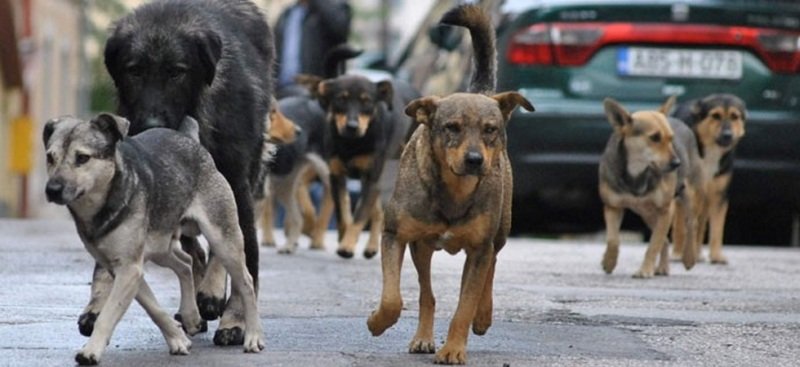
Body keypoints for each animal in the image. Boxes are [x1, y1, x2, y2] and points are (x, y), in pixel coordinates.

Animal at [43, 114, 264, 366]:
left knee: (245, 281)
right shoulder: (121, 269)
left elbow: (108, 314)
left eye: (82, 158)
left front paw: (91, 351)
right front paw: (178, 339)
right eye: (50, 157)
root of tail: (190, 139)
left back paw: (252, 336)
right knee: (185, 263)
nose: (52, 189)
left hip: (223, 239)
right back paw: (190, 316)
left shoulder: (129, 269)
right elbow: (154, 308)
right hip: (161, 246)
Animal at [96, 0, 272, 346]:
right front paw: (96, 305)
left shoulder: (238, 183)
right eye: (134, 71)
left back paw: (212, 291)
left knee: (225, 244)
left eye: (176, 72)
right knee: (194, 251)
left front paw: (236, 319)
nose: (150, 125)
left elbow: (247, 262)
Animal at [366, 5, 536, 366]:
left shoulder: (479, 248)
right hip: (422, 247)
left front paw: (455, 348)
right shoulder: (395, 235)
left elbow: (464, 305)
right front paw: (377, 322)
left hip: (499, 229)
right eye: (452, 127)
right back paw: (423, 337)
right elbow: (393, 297)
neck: (455, 190)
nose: (474, 160)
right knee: (426, 292)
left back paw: (483, 317)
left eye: (490, 129)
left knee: (491, 264)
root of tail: (481, 93)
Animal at [600, 96, 700, 278]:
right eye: (654, 137)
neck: (637, 171)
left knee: (691, 224)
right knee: (665, 240)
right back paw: (663, 267)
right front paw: (609, 261)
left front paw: (645, 270)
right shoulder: (612, 206)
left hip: (689, 195)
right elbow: (613, 239)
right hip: (647, 213)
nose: (677, 163)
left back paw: (689, 257)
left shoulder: (665, 210)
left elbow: (653, 245)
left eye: (671, 139)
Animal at [668, 92, 744, 264]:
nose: (727, 135)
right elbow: (682, 225)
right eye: (715, 116)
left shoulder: (719, 195)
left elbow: (717, 228)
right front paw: (679, 253)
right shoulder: (687, 191)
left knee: (701, 223)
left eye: (735, 117)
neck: (710, 151)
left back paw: (697, 252)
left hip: (704, 196)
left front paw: (716, 256)